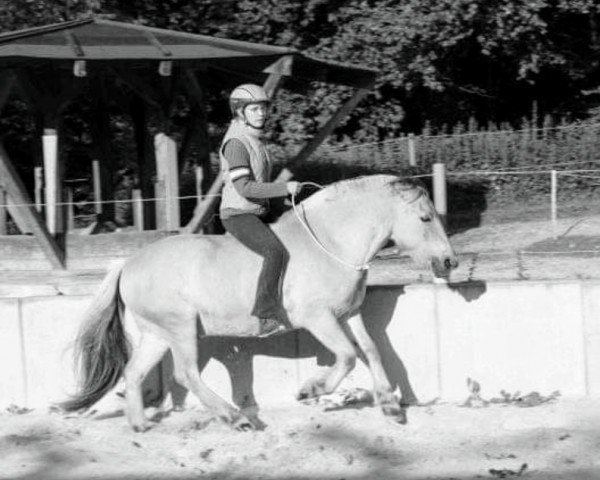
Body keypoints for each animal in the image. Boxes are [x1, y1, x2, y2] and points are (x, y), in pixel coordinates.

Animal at [61, 174, 458, 430]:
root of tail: (127, 264)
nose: (449, 261)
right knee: (185, 373)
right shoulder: (318, 318)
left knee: (134, 372)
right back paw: (235, 418)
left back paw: (141, 425)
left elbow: (372, 350)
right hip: (181, 327)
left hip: (158, 333)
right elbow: (347, 356)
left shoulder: (348, 314)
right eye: (425, 217)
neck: (330, 243)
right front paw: (311, 390)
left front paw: (390, 406)